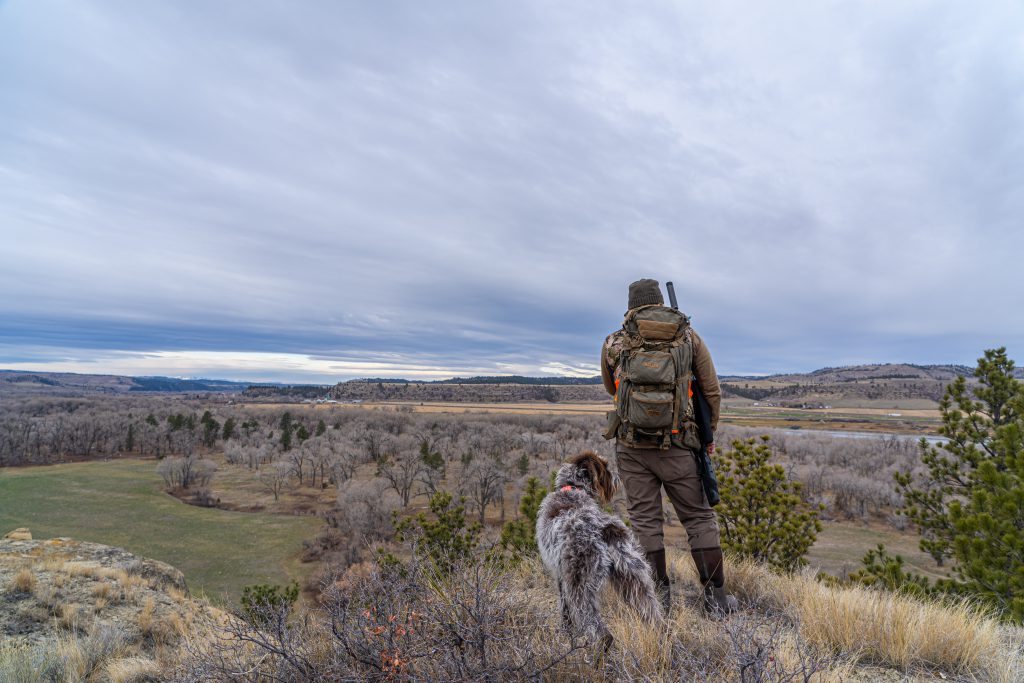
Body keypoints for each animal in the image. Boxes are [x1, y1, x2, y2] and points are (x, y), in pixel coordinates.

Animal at [536, 450, 663, 651]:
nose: (618, 478)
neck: (573, 490)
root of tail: (604, 528)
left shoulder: (560, 576)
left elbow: (565, 613)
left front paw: (566, 635)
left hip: (580, 584)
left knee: (601, 632)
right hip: (634, 578)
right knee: (654, 618)